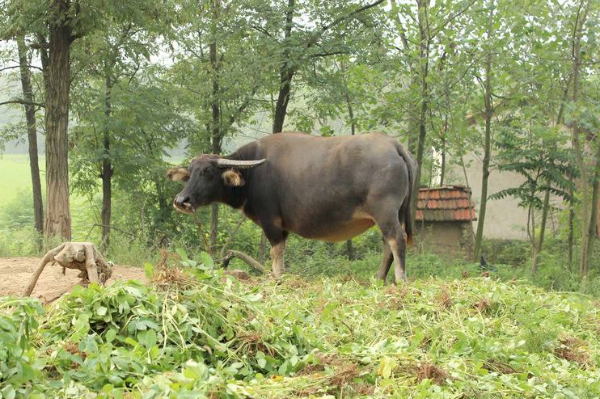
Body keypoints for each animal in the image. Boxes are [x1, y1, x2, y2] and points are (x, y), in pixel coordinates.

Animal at [166, 133, 414, 282]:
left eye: (207, 172)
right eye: (190, 172)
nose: (181, 200)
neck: (252, 175)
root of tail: (394, 145)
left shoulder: (271, 223)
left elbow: (276, 253)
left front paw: (277, 278)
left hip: (385, 212)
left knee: (396, 240)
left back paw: (400, 280)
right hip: (394, 214)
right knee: (387, 244)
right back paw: (379, 279)